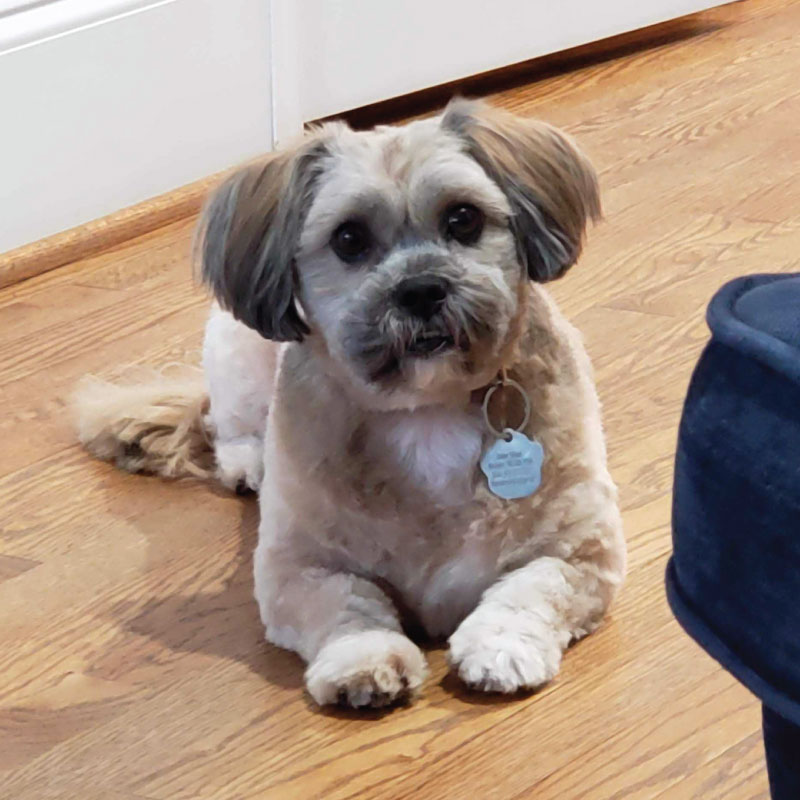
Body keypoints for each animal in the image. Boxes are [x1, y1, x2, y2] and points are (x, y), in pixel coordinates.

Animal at [75, 98, 624, 708]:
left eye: (463, 219)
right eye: (348, 239)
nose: (421, 289)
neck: (425, 409)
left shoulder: (582, 549)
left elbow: (532, 588)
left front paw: (500, 647)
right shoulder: (298, 568)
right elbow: (347, 604)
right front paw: (364, 659)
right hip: (234, 348)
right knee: (227, 423)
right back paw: (248, 463)